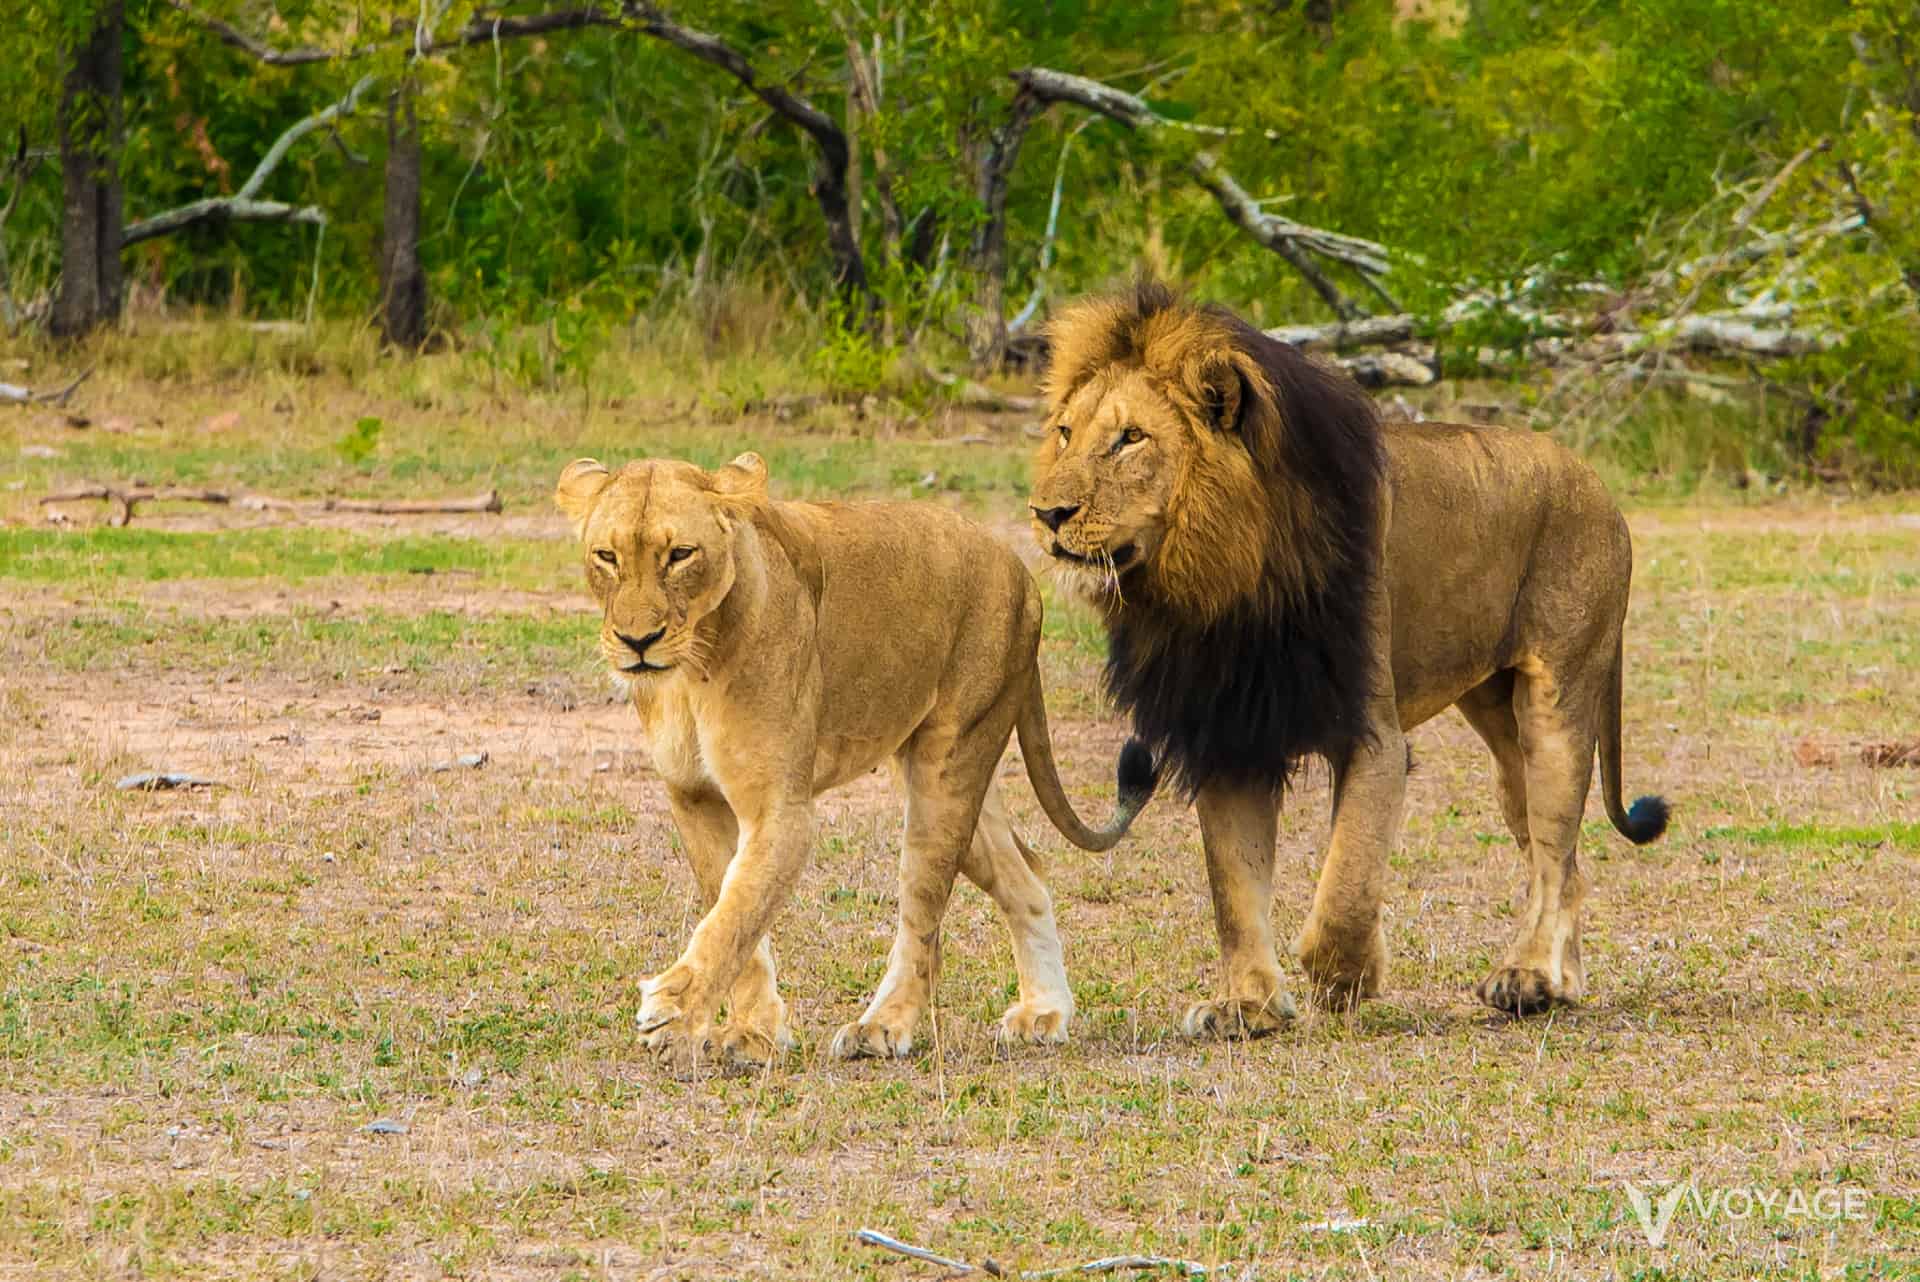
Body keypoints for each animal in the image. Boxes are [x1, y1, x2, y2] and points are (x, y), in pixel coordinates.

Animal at [556, 454, 1152, 1067]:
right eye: (607, 556)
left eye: (680, 555)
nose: (638, 641)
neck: (690, 671)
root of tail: (1018, 567)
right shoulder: (693, 798)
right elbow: (734, 914)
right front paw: (754, 1033)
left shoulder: (781, 811)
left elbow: (735, 915)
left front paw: (674, 1010)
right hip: (961, 776)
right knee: (1026, 874)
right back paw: (1044, 1012)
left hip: (947, 769)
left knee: (923, 919)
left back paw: (882, 1027)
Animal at [1029, 282, 1674, 1028]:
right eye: (1065, 433)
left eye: (1131, 438)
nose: (1047, 513)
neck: (1218, 586)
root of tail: (1597, 484)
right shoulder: (1230, 728)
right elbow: (1234, 885)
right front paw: (1248, 1005)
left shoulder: (1372, 734)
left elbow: (1347, 877)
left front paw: (1345, 976)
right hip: (1501, 727)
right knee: (1565, 863)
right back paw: (1559, 983)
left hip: (1558, 704)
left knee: (1552, 852)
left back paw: (1528, 977)